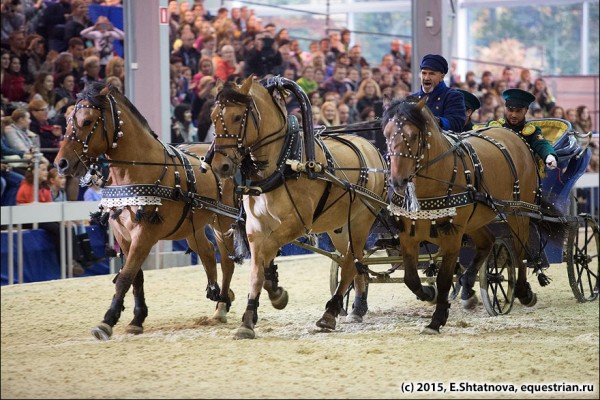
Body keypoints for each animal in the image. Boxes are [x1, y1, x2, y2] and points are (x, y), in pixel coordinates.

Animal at [54, 82, 244, 340]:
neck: (139, 170)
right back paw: (217, 294)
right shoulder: (123, 234)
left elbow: (125, 276)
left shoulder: (144, 233)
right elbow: (136, 276)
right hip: (191, 226)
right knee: (206, 251)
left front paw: (107, 321)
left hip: (223, 221)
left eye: (86, 121)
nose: (61, 163)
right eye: (66, 121)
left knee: (226, 260)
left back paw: (222, 305)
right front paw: (137, 318)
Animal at [210, 76, 390, 340]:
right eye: (213, 117)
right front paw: (249, 318)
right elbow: (256, 269)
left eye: (237, 116)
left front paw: (275, 292)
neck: (283, 163)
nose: (219, 166)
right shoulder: (255, 226)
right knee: (354, 261)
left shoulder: (297, 222)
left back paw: (330, 313)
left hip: (361, 221)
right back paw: (357, 307)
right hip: (339, 227)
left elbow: (267, 252)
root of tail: (373, 148)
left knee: (350, 263)